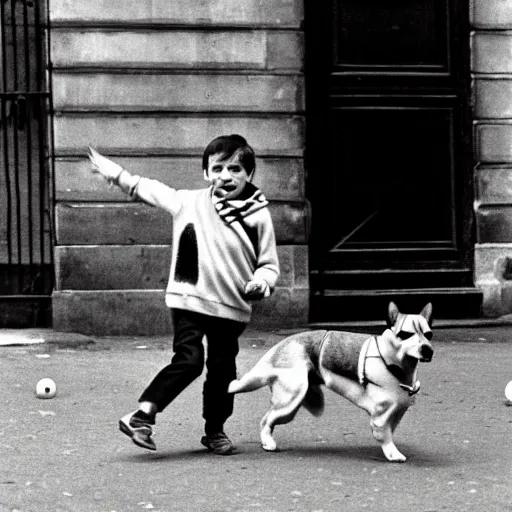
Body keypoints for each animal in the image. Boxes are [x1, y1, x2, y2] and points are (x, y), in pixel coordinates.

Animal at [228, 302, 432, 462]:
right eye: (405, 334)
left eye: (428, 335)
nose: (427, 349)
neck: (393, 363)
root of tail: (280, 346)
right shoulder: (381, 414)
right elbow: (384, 433)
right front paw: (392, 453)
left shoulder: (398, 410)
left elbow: (390, 429)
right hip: (291, 399)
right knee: (266, 420)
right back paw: (267, 442)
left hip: (295, 403)